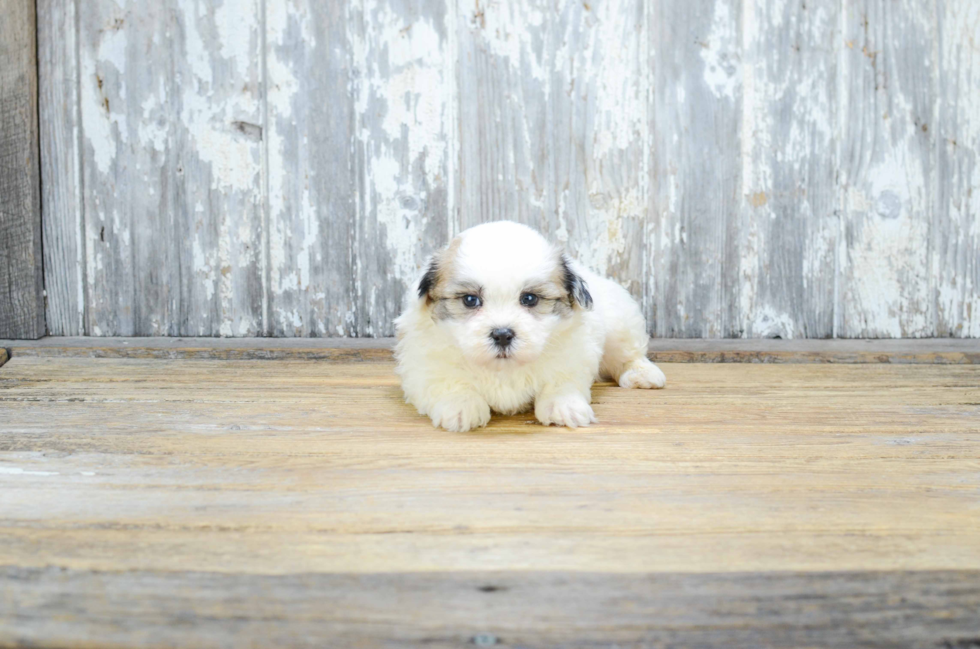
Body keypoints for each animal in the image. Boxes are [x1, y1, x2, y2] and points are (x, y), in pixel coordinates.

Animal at [392, 221, 668, 430]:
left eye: (529, 299)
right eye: (470, 300)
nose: (502, 335)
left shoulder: (573, 354)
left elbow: (560, 381)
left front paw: (563, 406)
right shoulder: (425, 365)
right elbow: (447, 382)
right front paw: (461, 406)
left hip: (620, 323)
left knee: (628, 353)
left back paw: (642, 374)